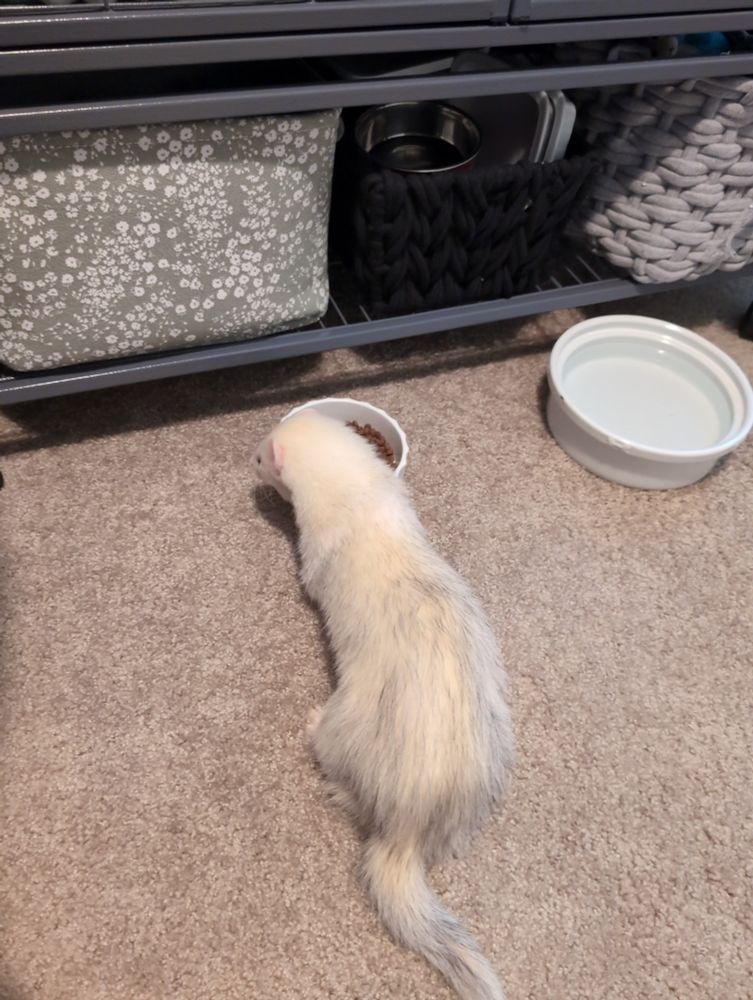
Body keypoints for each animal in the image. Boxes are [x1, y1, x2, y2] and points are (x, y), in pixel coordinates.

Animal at [254, 409, 514, 1000]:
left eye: (259, 454)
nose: (248, 461)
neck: (364, 502)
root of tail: (409, 826)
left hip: (346, 727)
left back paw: (313, 726)